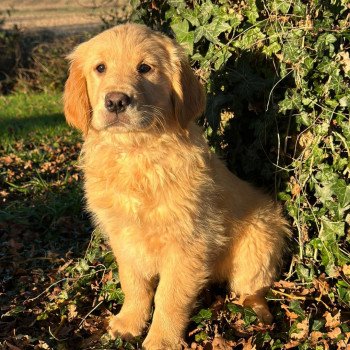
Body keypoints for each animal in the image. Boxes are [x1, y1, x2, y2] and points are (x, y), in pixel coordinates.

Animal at [63, 23, 290, 348]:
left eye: (145, 68)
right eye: (100, 68)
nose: (116, 101)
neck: (136, 153)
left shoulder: (189, 242)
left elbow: (169, 297)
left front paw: (161, 339)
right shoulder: (124, 238)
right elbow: (133, 284)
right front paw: (129, 323)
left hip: (260, 240)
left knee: (253, 288)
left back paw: (260, 314)